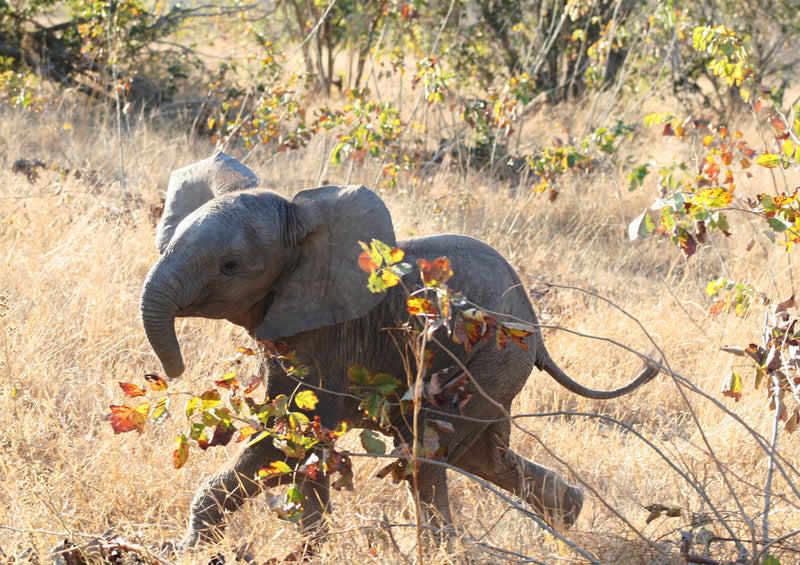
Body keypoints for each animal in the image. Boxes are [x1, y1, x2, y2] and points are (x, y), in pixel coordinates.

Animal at [141, 151, 660, 548]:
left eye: (229, 266)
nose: (172, 373)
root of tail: (537, 329)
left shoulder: (330, 334)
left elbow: (295, 435)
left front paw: (305, 551)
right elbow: (289, 439)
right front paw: (188, 549)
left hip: (492, 360)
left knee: (425, 455)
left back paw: (443, 550)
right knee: (480, 457)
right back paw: (569, 517)